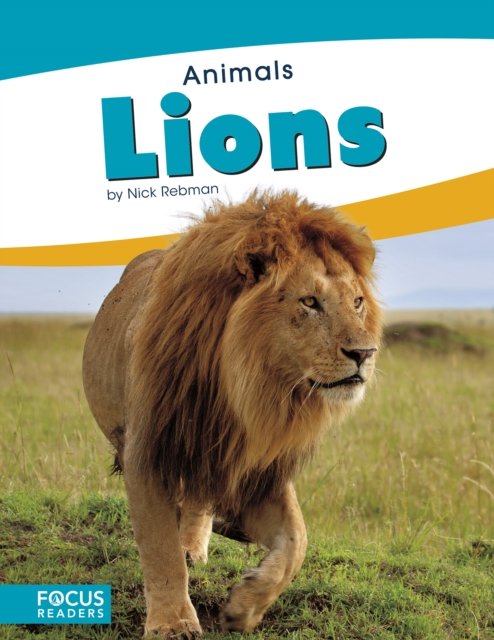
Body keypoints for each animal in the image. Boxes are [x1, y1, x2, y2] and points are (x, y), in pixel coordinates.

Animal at [82, 190, 382, 638]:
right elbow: (159, 548)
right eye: (310, 302)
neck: (245, 391)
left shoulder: (258, 468)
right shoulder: (149, 451)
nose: (364, 353)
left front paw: (244, 606)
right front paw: (173, 624)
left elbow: (297, 540)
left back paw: (199, 544)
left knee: (200, 502)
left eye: (358, 303)